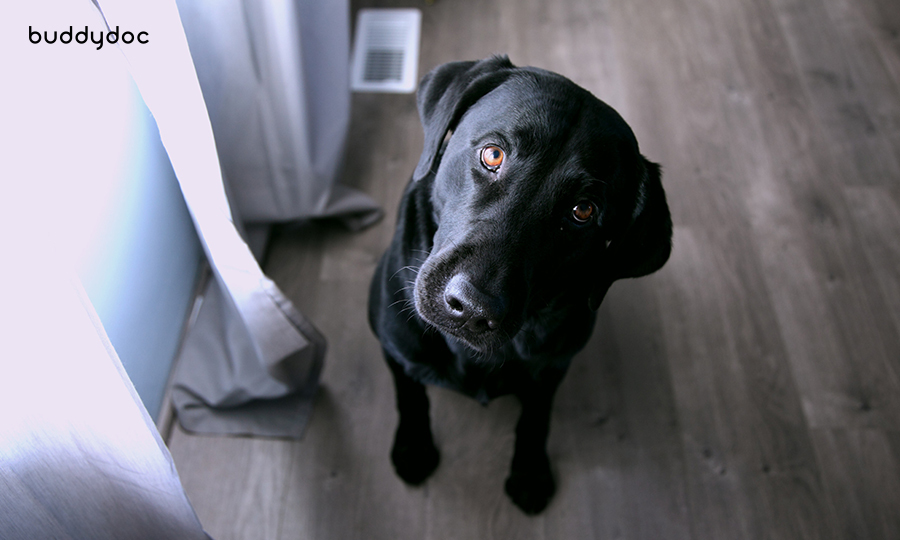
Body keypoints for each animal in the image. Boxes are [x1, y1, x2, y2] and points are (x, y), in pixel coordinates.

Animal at [370, 56, 672, 516]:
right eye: (493, 154)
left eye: (583, 210)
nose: (472, 307)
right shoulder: (393, 342)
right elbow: (409, 390)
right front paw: (414, 447)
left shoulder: (554, 366)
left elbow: (536, 416)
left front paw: (530, 472)